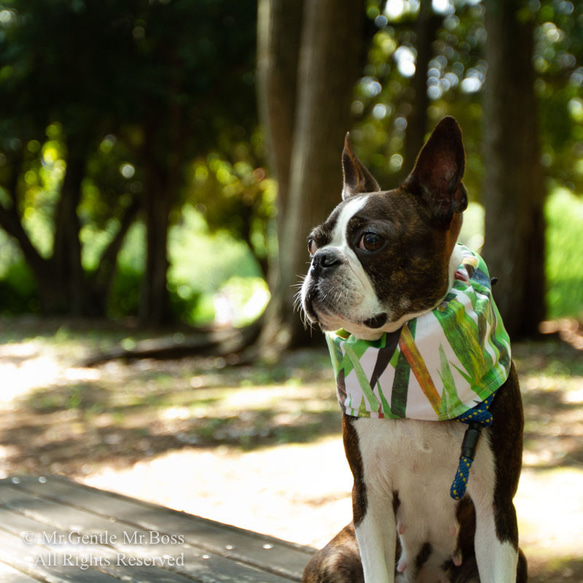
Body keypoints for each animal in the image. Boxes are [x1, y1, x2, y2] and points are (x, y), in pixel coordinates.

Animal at [298, 118, 528, 583]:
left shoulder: (496, 508)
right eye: (313, 243)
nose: (320, 261)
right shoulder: (370, 498)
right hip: (332, 559)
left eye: (370, 240)